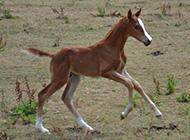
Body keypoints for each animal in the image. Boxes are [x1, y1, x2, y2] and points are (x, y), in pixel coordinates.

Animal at [27, 8, 163, 133]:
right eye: (136, 26)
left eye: (142, 24)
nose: (149, 40)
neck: (112, 48)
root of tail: (54, 55)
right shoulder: (107, 72)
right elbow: (129, 84)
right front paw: (124, 114)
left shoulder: (121, 70)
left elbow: (137, 85)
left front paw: (158, 113)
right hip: (60, 78)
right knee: (43, 94)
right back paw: (41, 128)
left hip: (74, 77)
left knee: (66, 98)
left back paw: (86, 126)